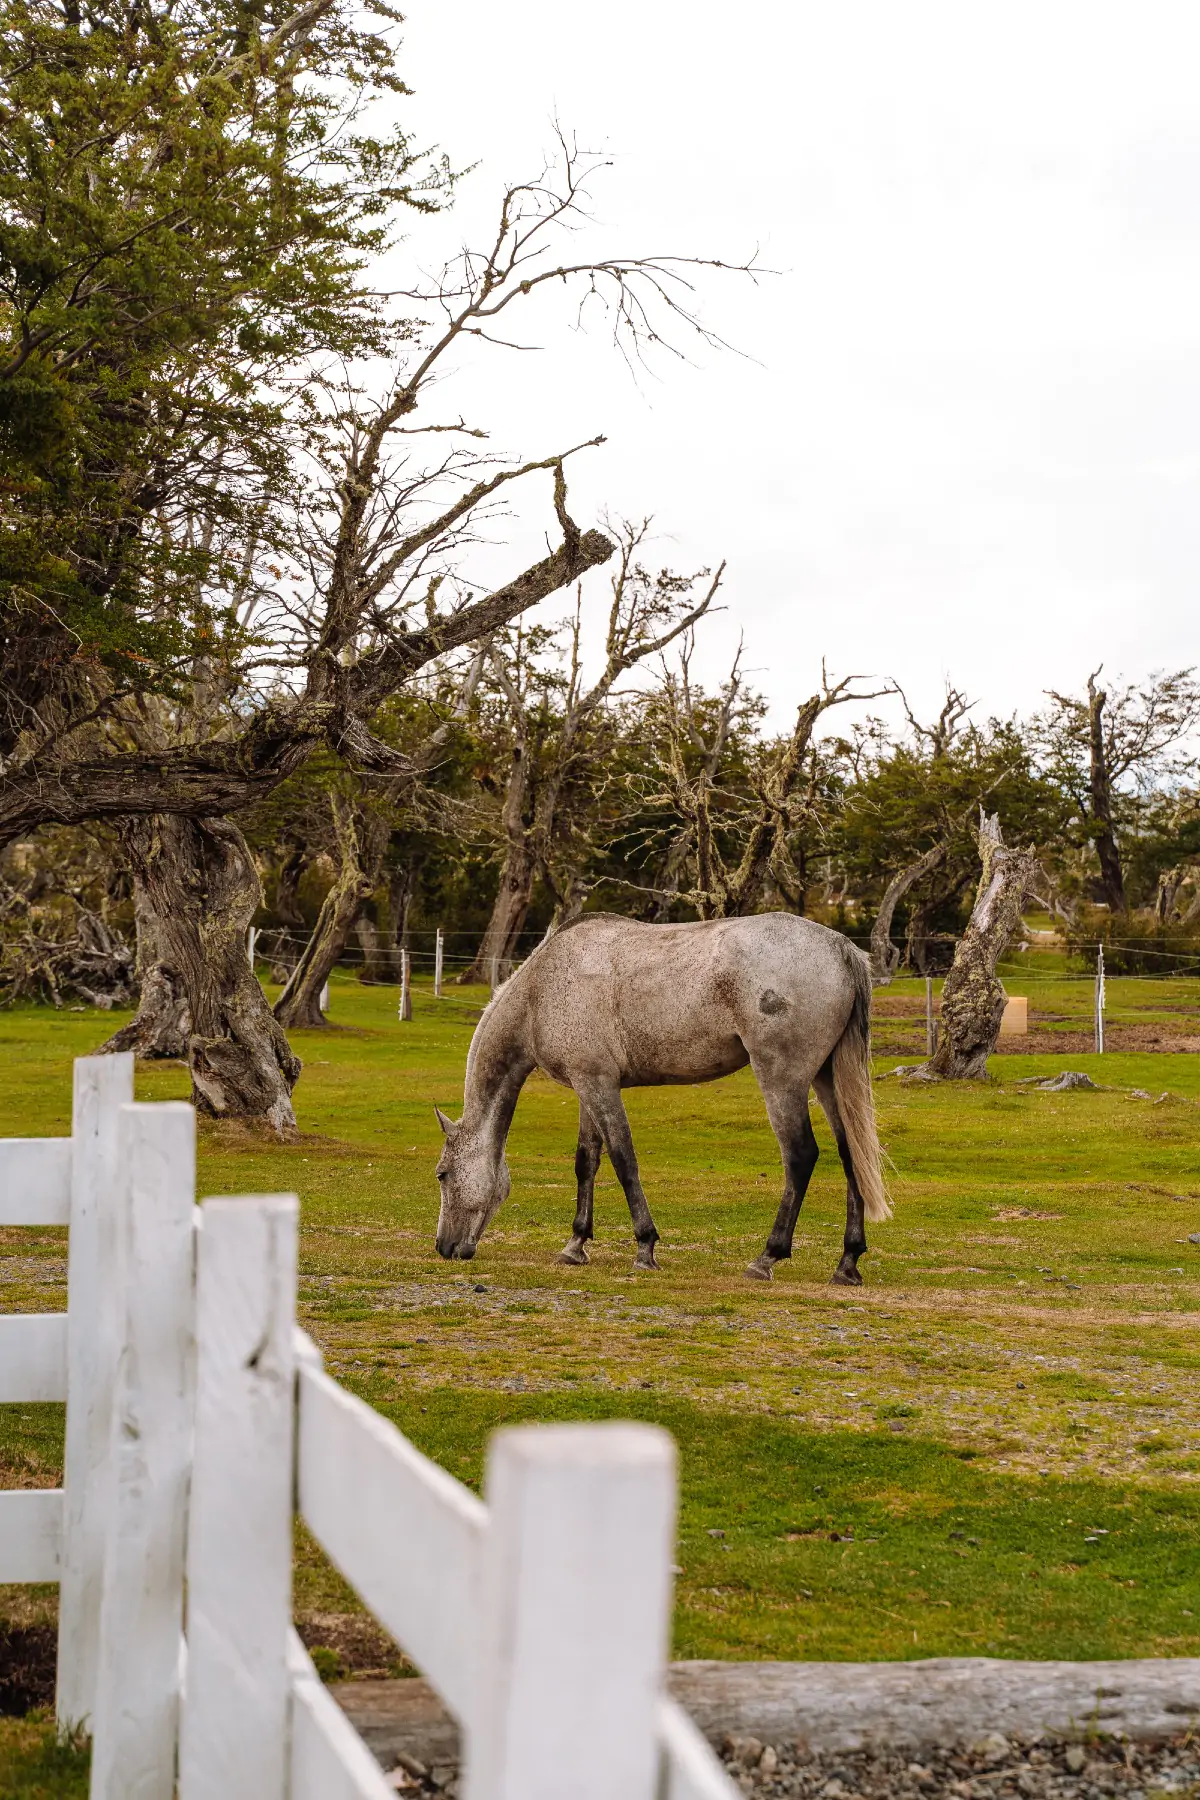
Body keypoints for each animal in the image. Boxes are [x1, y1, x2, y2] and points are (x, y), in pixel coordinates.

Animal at [433, 914, 892, 1281]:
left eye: (442, 1175)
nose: (444, 1247)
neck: (541, 988)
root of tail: (840, 948)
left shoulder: (599, 1085)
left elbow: (624, 1160)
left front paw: (645, 1247)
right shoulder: (588, 1086)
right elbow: (586, 1162)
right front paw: (575, 1244)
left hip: (783, 1079)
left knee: (800, 1155)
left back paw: (767, 1258)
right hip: (827, 1079)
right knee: (851, 1154)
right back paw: (847, 1262)